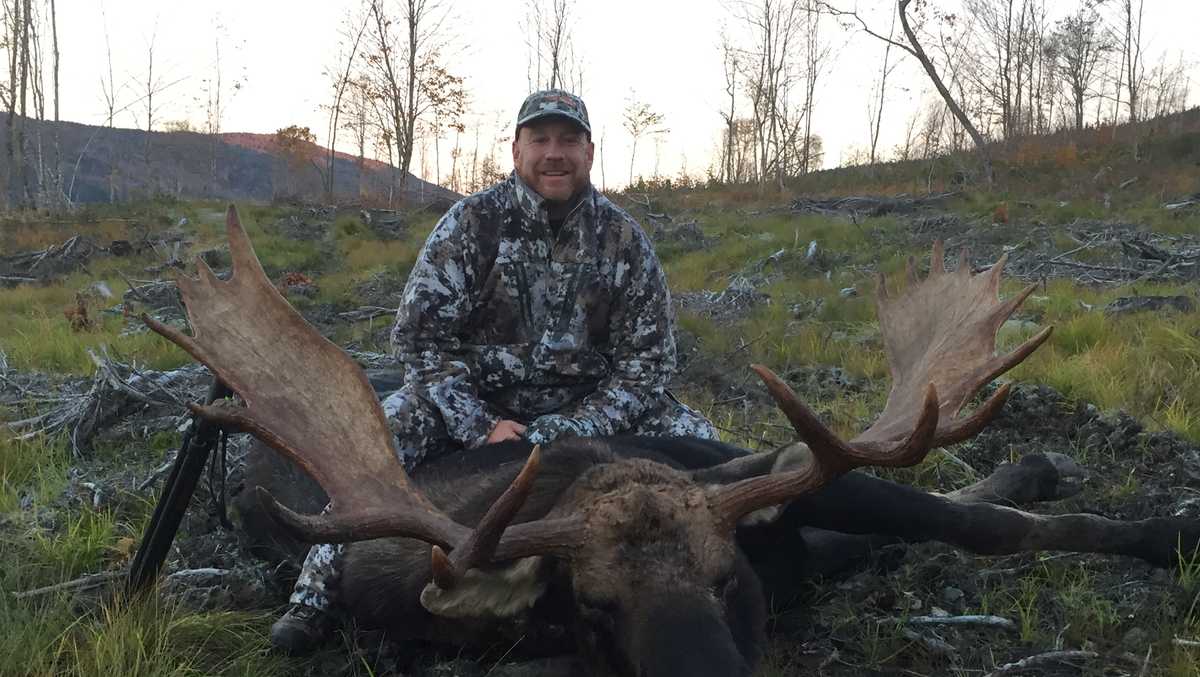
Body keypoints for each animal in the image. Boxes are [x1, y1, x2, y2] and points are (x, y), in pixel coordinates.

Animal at [145, 206, 1200, 676]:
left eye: (726, 576)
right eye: (596, 605)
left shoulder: (775, 482)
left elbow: (993, 528)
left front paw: (1162, 531)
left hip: (802, 468)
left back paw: (1065, 477)